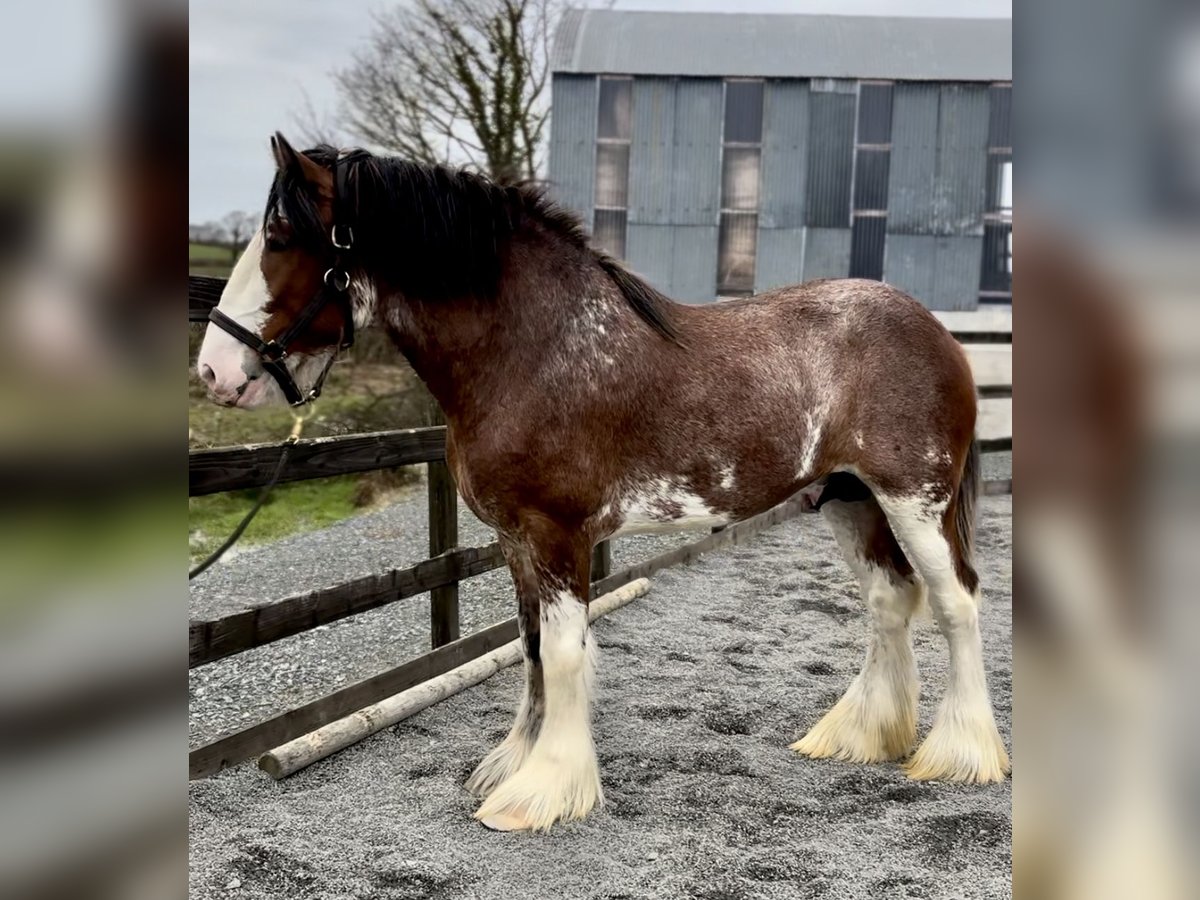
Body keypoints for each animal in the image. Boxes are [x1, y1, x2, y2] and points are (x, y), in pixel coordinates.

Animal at [196, 137, 1012, 835]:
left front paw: (542, 792)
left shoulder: (559, 534)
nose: (214, 372)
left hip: (914, 499)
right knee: (889, 600)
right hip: (849, 498)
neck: (536, 348)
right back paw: (859, 736)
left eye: (279, 237)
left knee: (955, 603)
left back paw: (962, 754)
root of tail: (938, 333)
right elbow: (529, 649)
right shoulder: (515, 540)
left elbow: (562, 655)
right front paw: (514, 765)